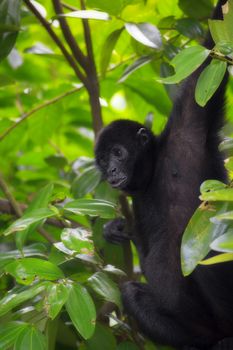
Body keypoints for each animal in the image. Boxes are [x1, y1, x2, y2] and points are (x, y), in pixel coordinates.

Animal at [94, 1, 233, 348]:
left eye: (118, 153)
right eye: (102, 160)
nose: (111, 170)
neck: (156, 170)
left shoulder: (188, 129)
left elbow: (209, 55)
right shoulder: (138, 200)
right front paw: (114, 229)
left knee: (206, 247)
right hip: (198, 327)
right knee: (131, 292)